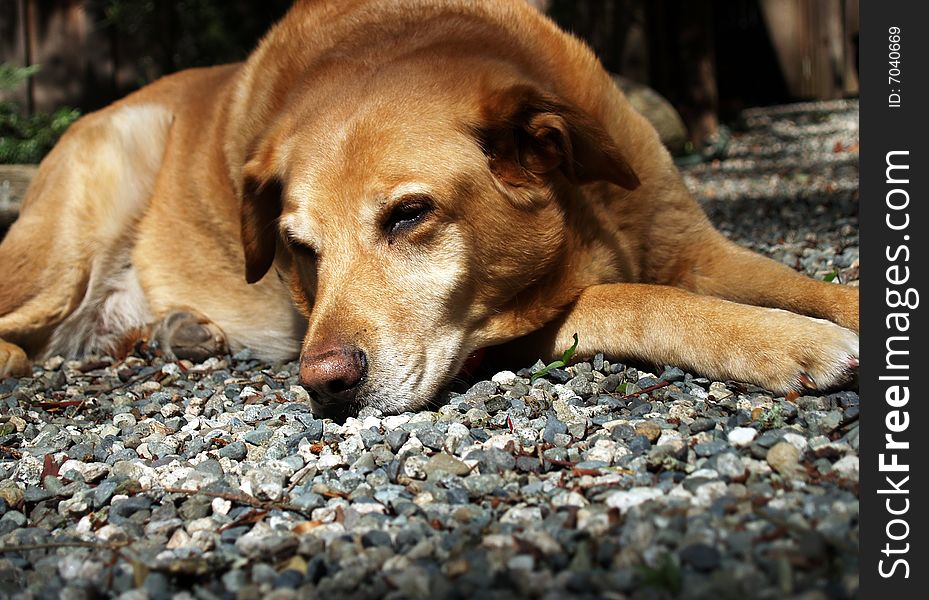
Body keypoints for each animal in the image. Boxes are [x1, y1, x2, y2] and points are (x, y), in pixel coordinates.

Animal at [0, 0, 856, 420]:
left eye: (409, 214)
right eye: (299, 248)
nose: (324, 382)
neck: (583, 212)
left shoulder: (694, 247)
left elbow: (801, 282)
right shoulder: (511, 326)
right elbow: (639, 298)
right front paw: (786, 341)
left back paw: (173, 333)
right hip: (70, 238)